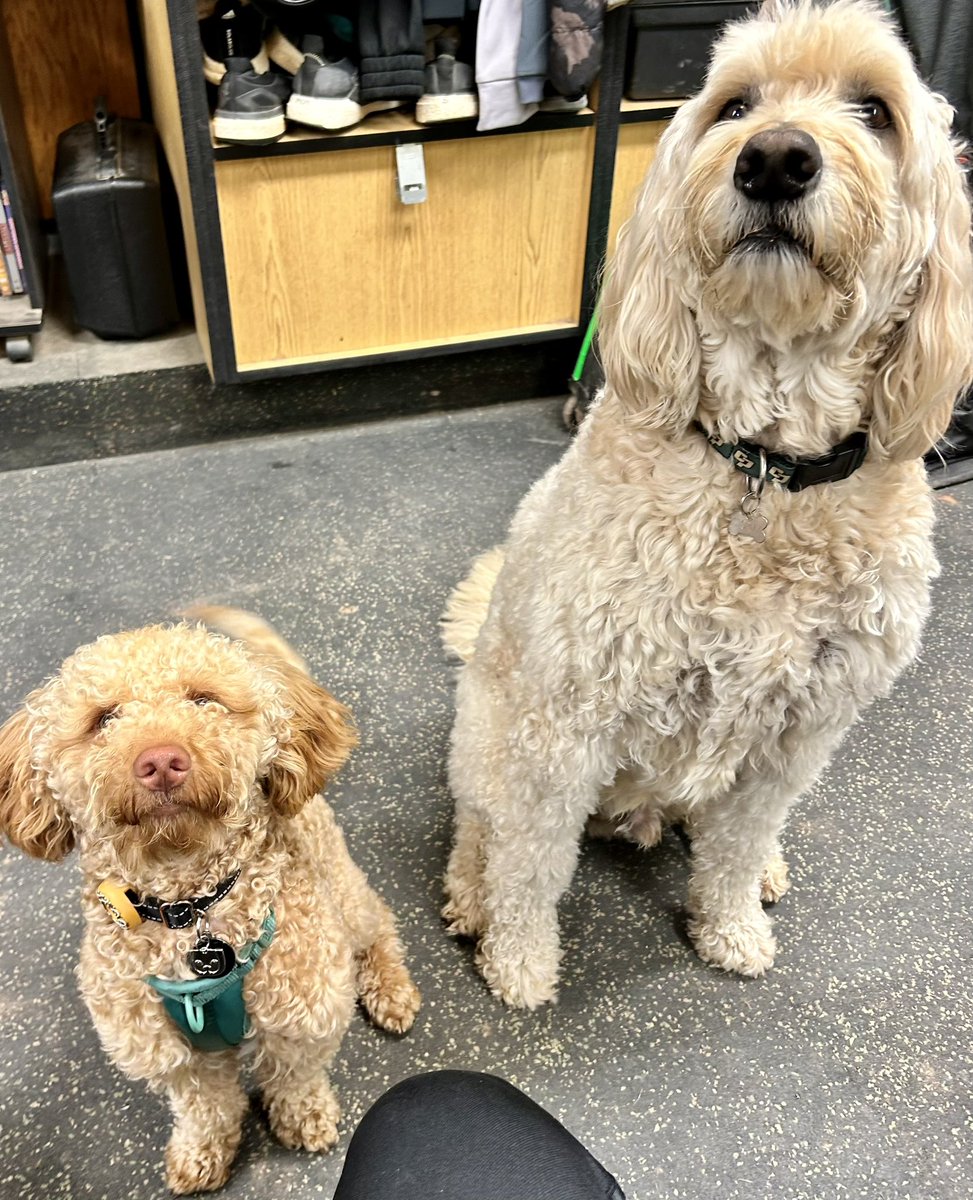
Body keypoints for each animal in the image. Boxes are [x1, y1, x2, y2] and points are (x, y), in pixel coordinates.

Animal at [0, 604, 417, 1195]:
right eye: (103, 719)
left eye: (203, 699)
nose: (160, 761)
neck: (191, 909)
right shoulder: (167, 1052)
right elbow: (205, 1107)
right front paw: (202, 1153)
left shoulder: (302, 1012)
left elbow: (296, 1076)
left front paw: (303, 1116)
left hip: (343, 892)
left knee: (378, 923)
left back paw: (392, 989)